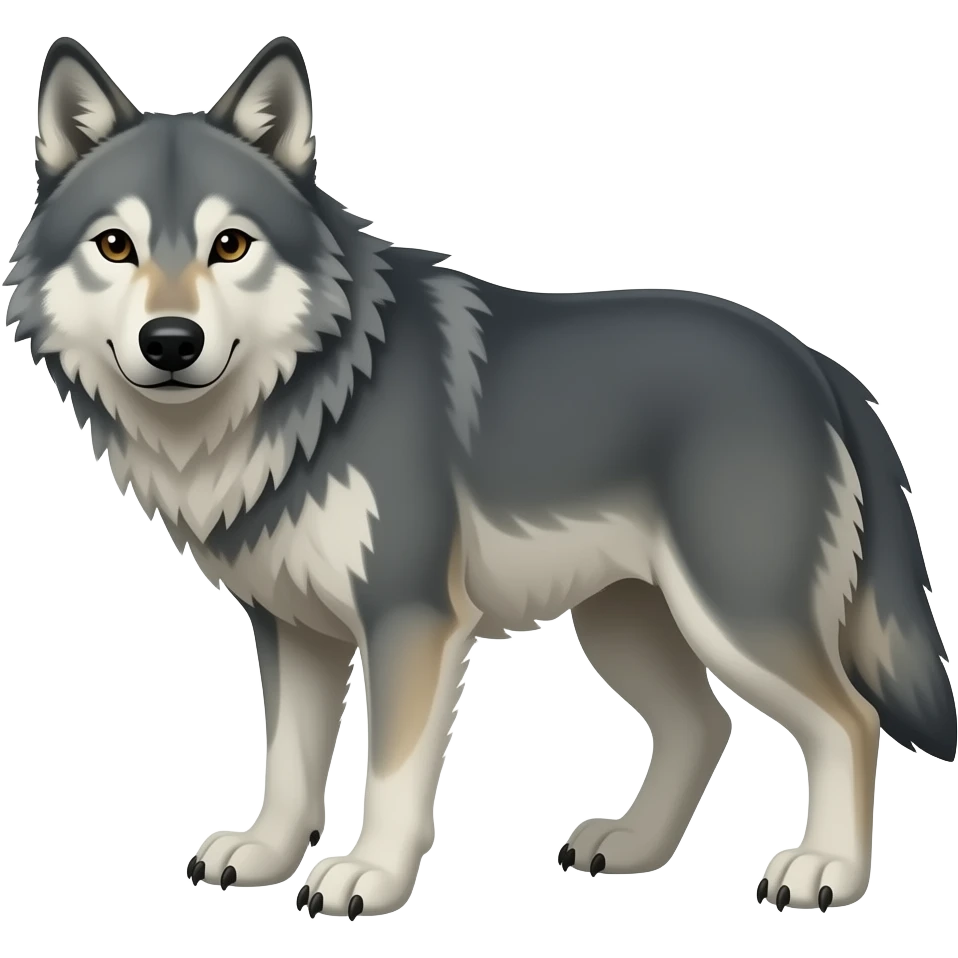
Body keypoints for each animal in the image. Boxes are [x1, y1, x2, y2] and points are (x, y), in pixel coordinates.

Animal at [4, 34, 954, 920]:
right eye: (115, 246)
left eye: (230, 244)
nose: (171, 342)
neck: (313, 393)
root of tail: (817, 364)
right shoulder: (293, 629)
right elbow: (293, 763)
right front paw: (269, 855)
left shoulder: (411, 620)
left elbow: (389, 772)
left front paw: (368, 877)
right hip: (626, 626)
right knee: (705, 724)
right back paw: (633, 846)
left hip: (735, 618)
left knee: (849, 720)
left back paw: (825, 871)